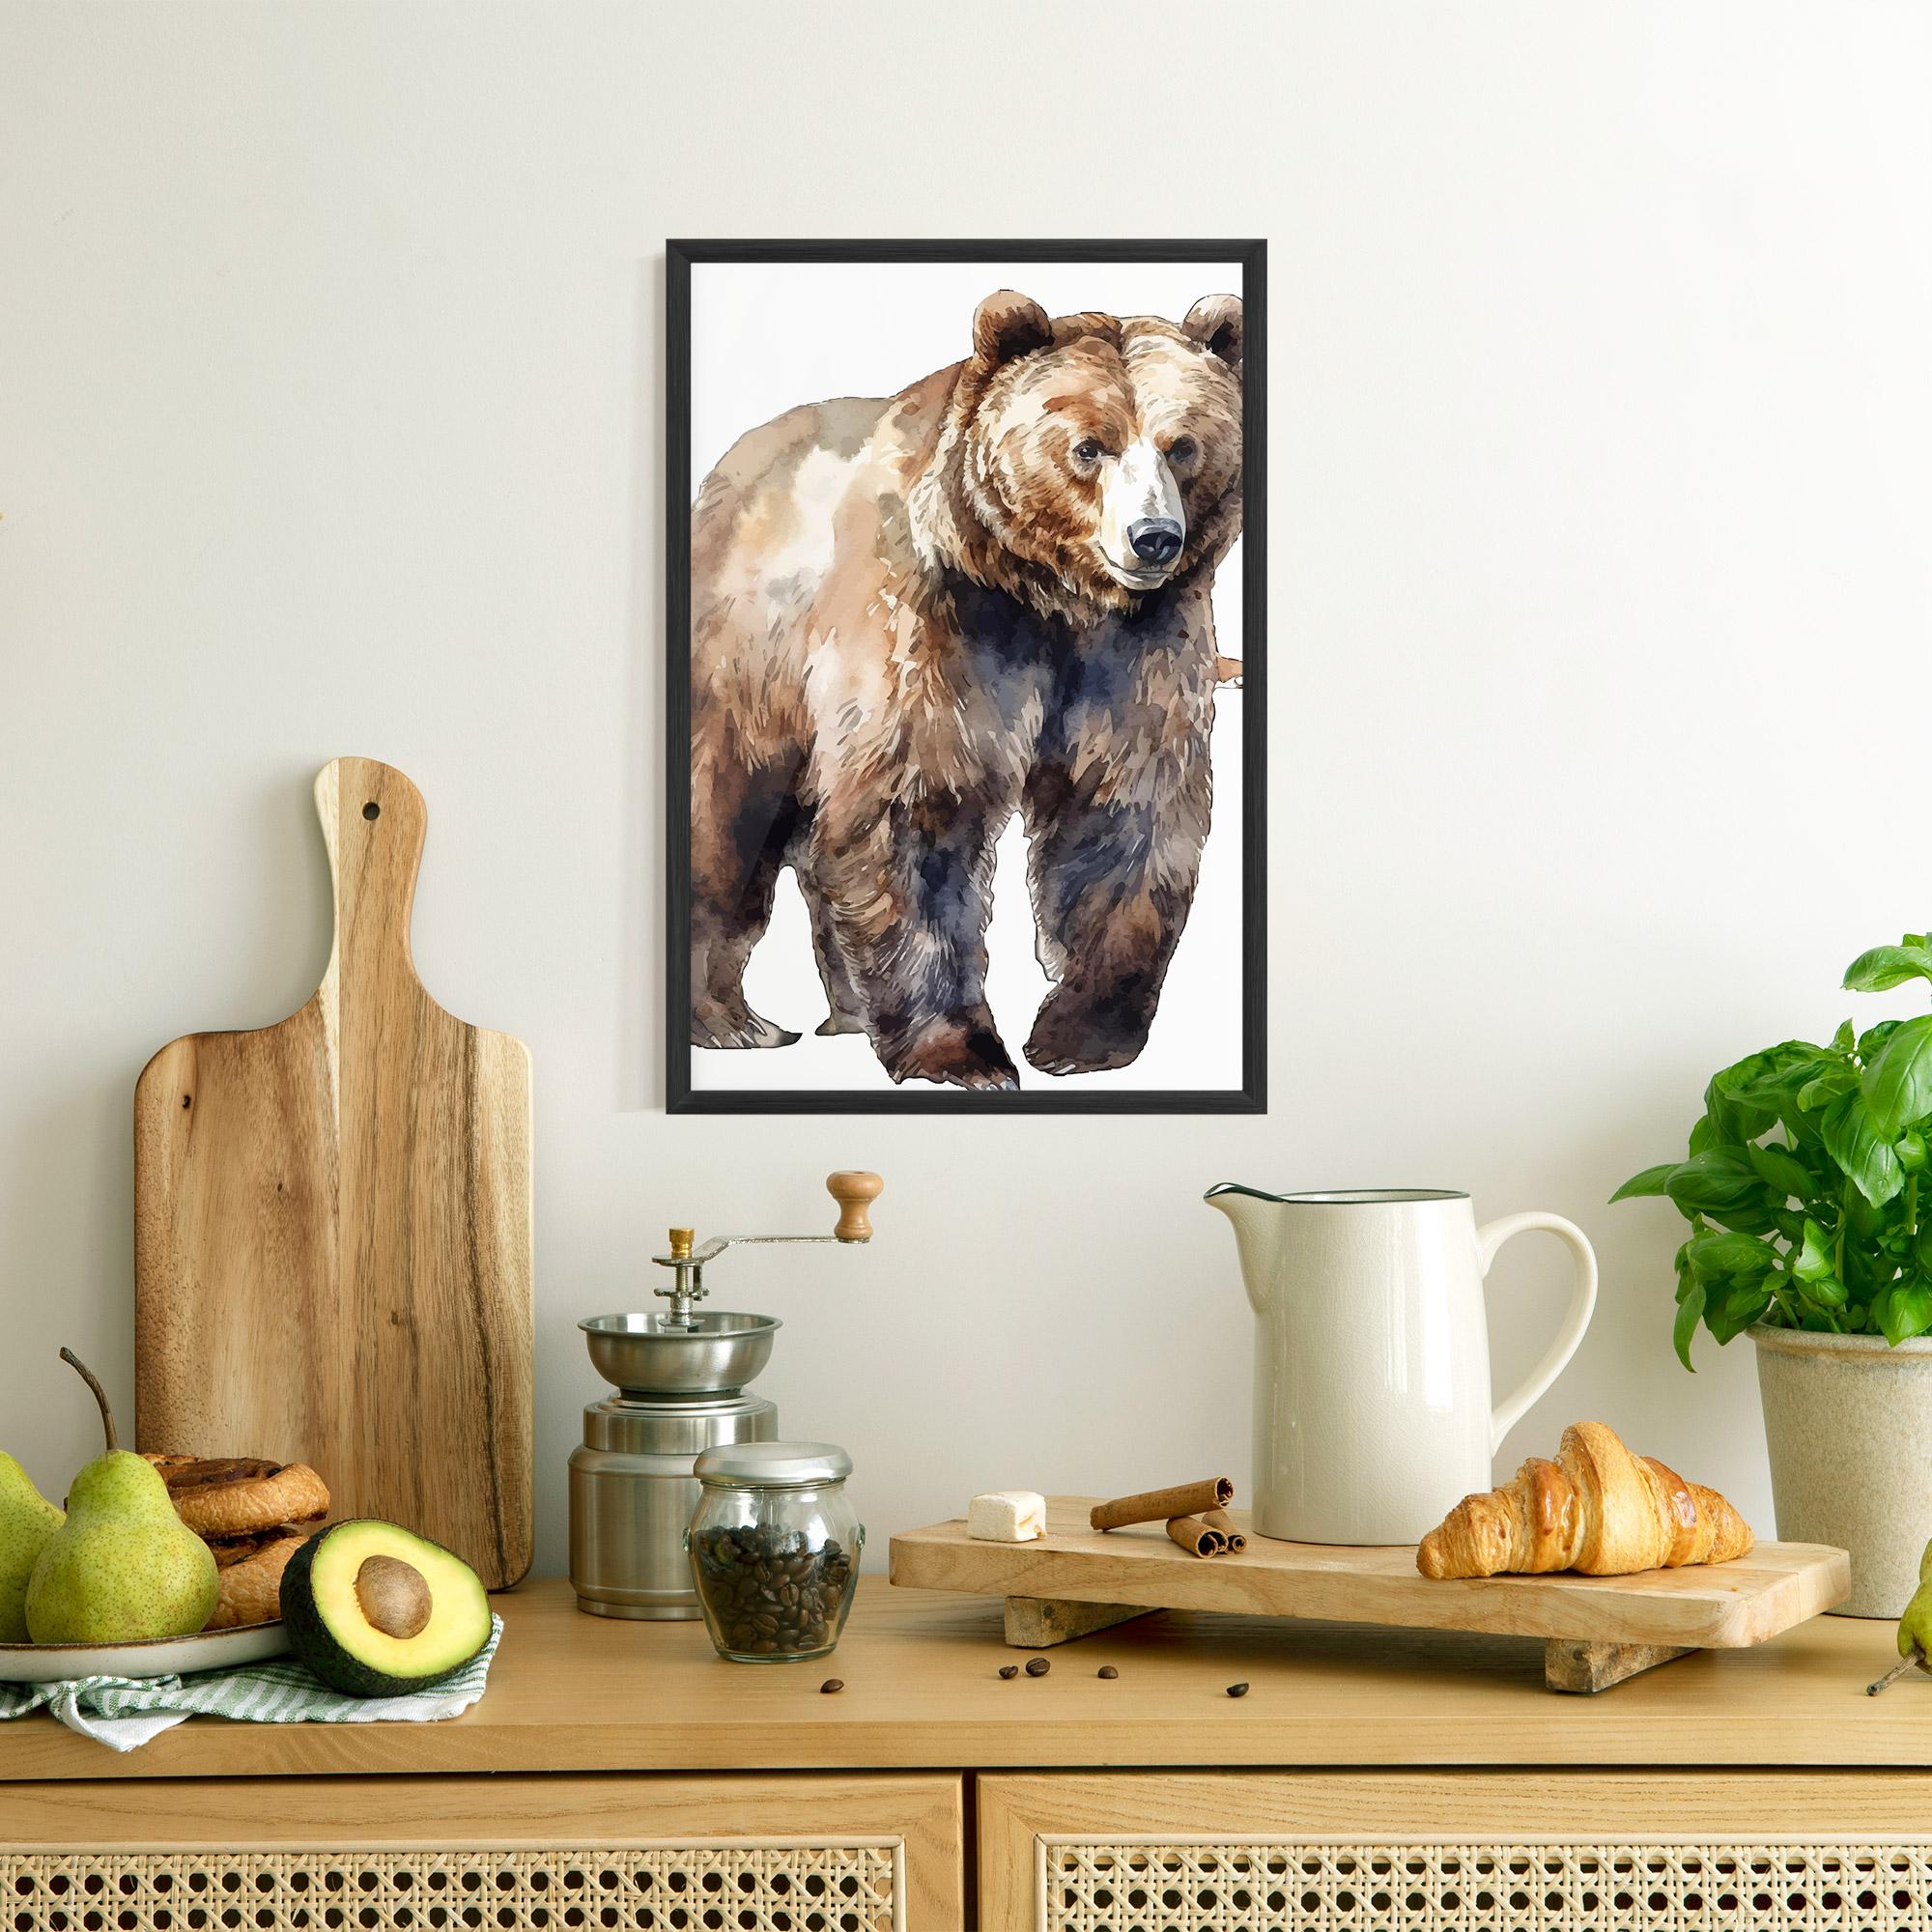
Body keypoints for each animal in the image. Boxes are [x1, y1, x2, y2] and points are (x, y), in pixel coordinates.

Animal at [687, 287, 1244, 1090]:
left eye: (1182, 445)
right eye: (1090, 446)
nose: (1154, 538)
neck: (1054, 595)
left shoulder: (1136, 651)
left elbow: (1122, 812)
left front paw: (1080, 1036)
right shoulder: (939, 625)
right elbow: (918, 812)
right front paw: (963, 1055)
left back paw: (848, 1012)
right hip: (749, 661)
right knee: (729, 816)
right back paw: (733, 1021)